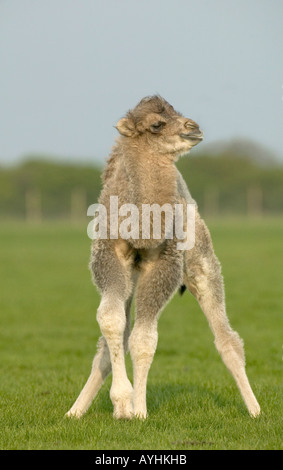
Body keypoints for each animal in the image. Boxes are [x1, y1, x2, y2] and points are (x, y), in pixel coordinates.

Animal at [66, 94, 262, 418]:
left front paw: (139, 411)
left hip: (201, 260)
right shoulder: (109, 256)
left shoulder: (165, 263)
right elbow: (111, 322)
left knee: (226, 338)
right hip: (131, 277)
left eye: (177, 112)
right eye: (156, 124)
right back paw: (76, 411)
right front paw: (122, 403)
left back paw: (256, 410)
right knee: (112, 340)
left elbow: (144, 339)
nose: (193, 128)